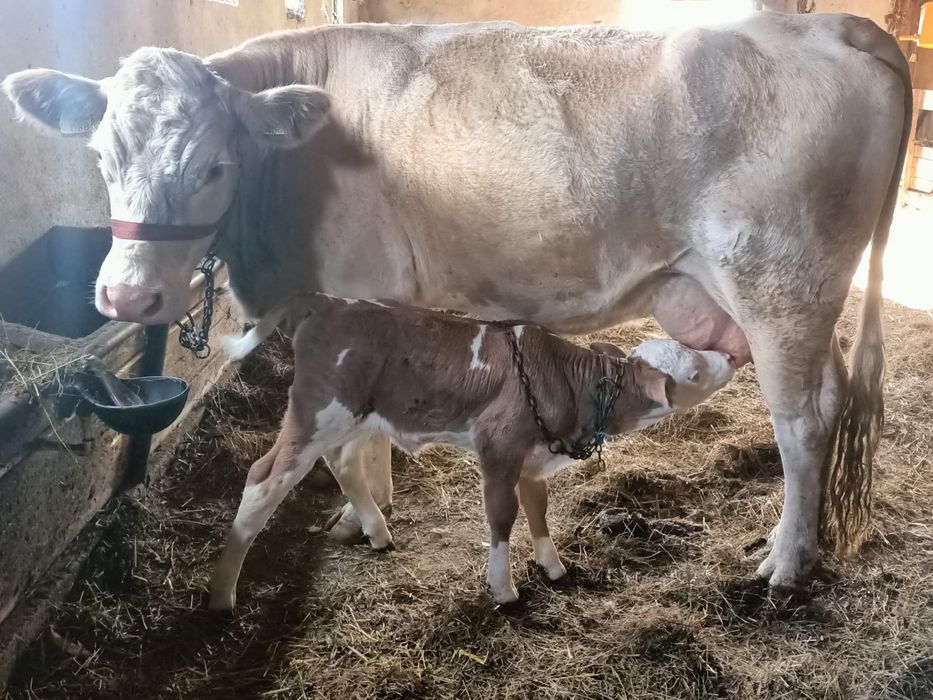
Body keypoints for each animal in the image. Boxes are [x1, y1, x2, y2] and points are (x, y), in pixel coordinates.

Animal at [208, 293, 737, 607]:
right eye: (693, 370)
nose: (730, 356)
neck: (569, 384)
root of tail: (326, 302)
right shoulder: (498, 444)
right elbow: (502, 517)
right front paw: (503, 589)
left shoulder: (534, 455)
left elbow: (537, 508)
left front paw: (552, 566)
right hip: (314, 411)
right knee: (262, 478)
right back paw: (221, 595)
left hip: (355, 416)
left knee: (343, 461)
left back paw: (376, 531)